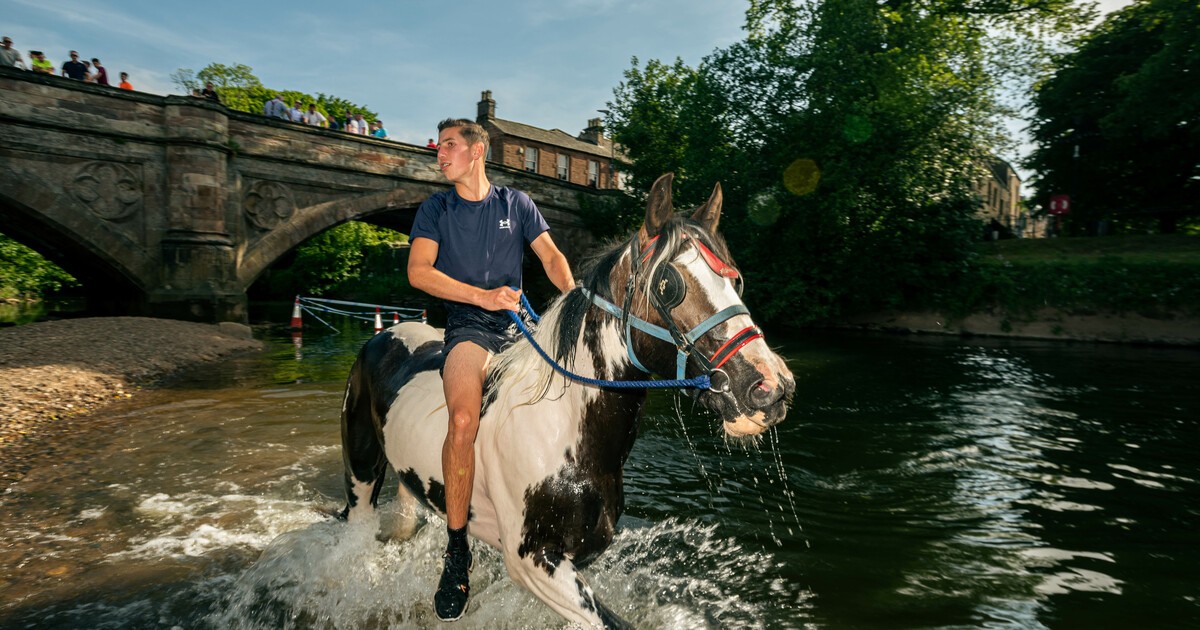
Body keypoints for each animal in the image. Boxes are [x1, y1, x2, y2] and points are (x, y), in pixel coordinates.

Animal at [338, 170, 792, 624]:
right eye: (668, 285)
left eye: (736, 279)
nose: (770, 386)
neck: (559, 429)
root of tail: (385, 334)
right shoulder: (532, 562)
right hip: (361, 474)